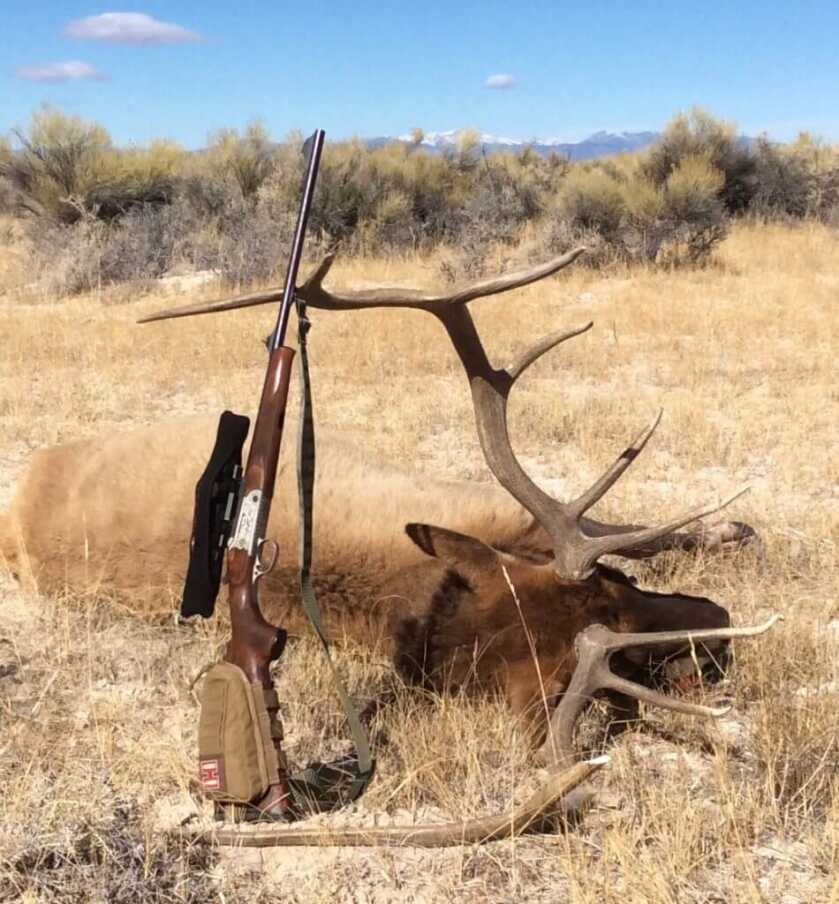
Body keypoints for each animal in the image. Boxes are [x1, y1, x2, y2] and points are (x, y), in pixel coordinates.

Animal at [1, 249, 776, 845]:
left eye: (609, 584)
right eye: (614, 635)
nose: (717, 626)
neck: (416, 595)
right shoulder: (480, 502)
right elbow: (635, 524)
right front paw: (731, 528)